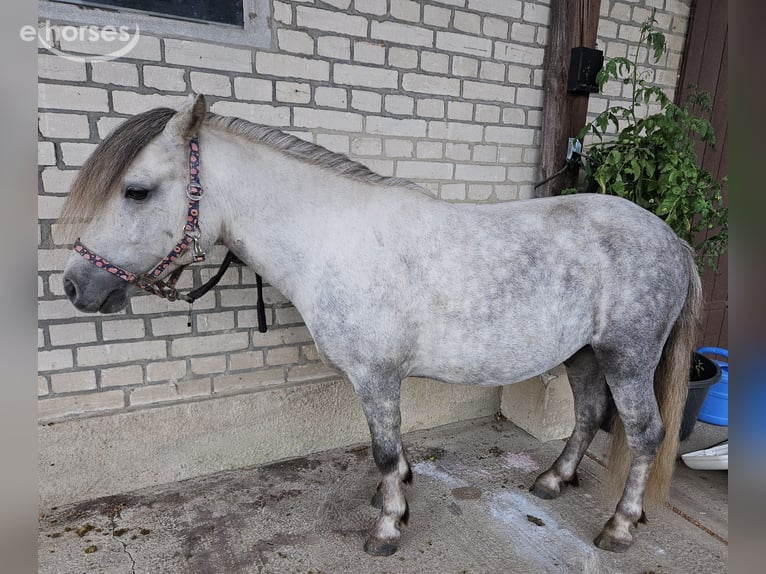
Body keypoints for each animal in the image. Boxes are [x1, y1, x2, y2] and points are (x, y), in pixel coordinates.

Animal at [60, 95, 701, 556]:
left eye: (136, 191)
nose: (74, 286)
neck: (330, 238)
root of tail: (674, 241)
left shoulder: (375, 374)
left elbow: (385, 451)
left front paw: (388, 527)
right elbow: (394, 449)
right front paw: (394, 501)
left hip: (626, 358)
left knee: (645, 434)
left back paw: (620, 527)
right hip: (584, 353)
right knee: (590, 414)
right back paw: (552, 480)